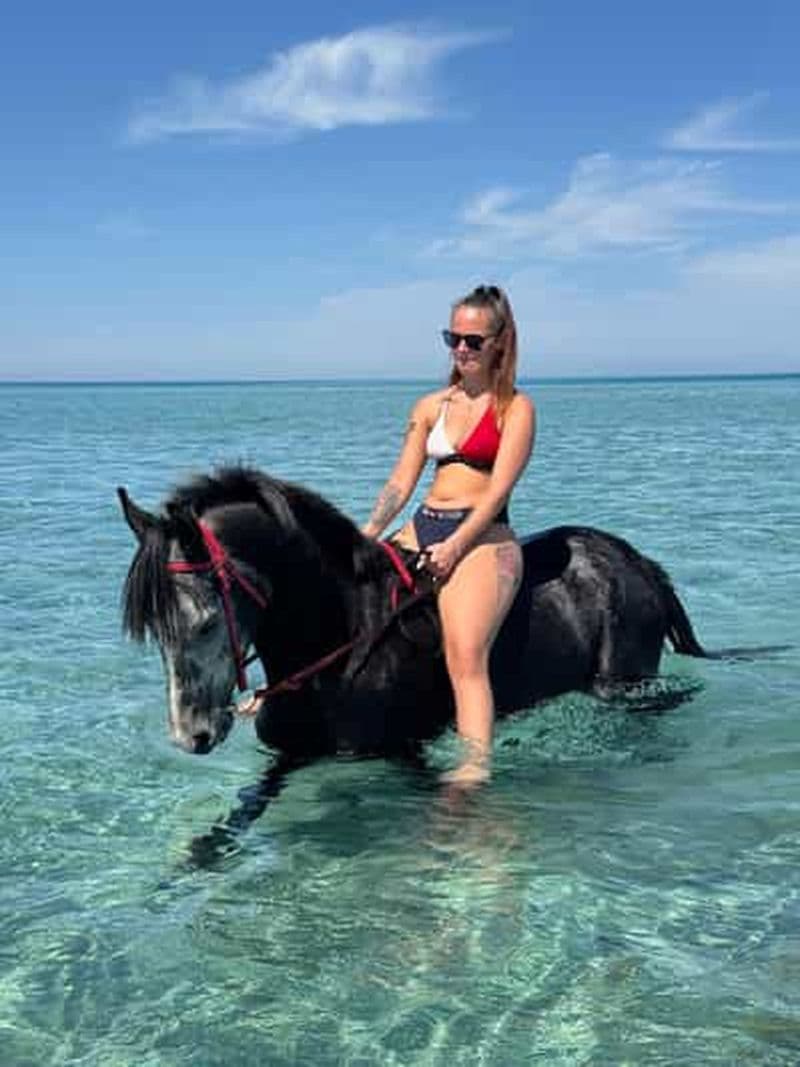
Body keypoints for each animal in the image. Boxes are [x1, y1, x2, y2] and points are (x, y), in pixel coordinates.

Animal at [118, 465, 707, 771]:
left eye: (204, 622)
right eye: (157, 634)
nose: (191, 736)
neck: (342, 641)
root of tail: (638, 562)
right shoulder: (288, 757)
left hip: (623, 681)